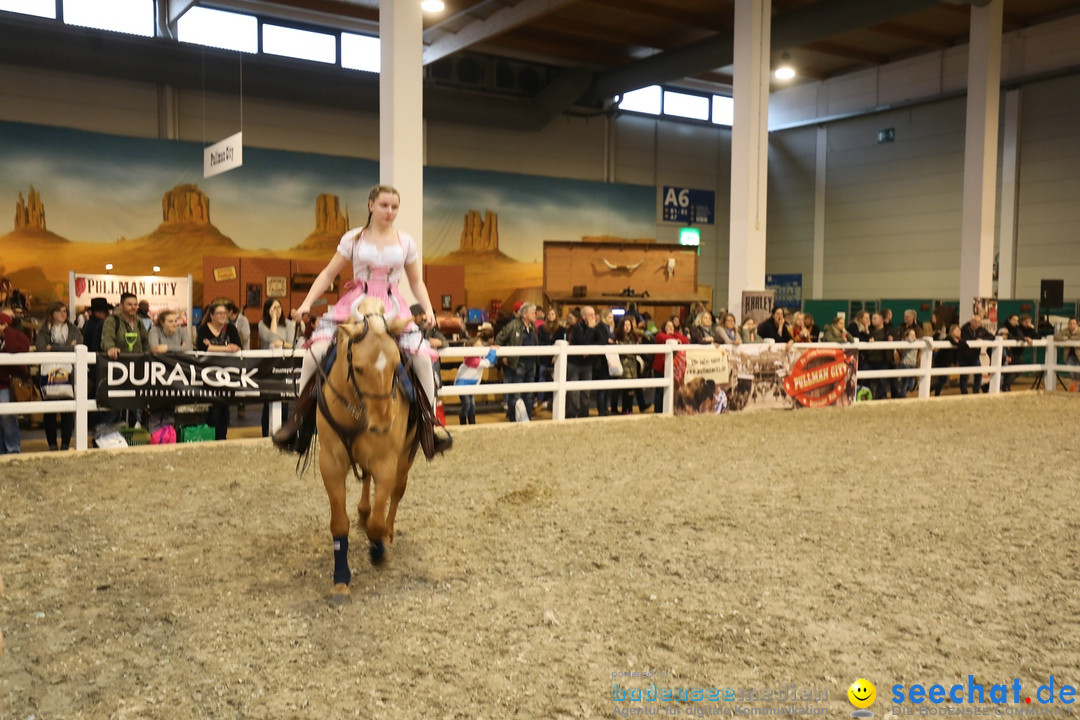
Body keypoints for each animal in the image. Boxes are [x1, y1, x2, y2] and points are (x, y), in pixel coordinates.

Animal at [315, 297, 419, 595]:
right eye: (359, 368)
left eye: (397, 363)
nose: (384, 424)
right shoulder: (330, 463)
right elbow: (339, 522)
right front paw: (341, 579)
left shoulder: (387, 462)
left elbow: (378, 519)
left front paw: (378, 549)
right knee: (366, 482)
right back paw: (363, 512)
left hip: (406, 457)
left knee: (396, 493)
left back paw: (388, 533)